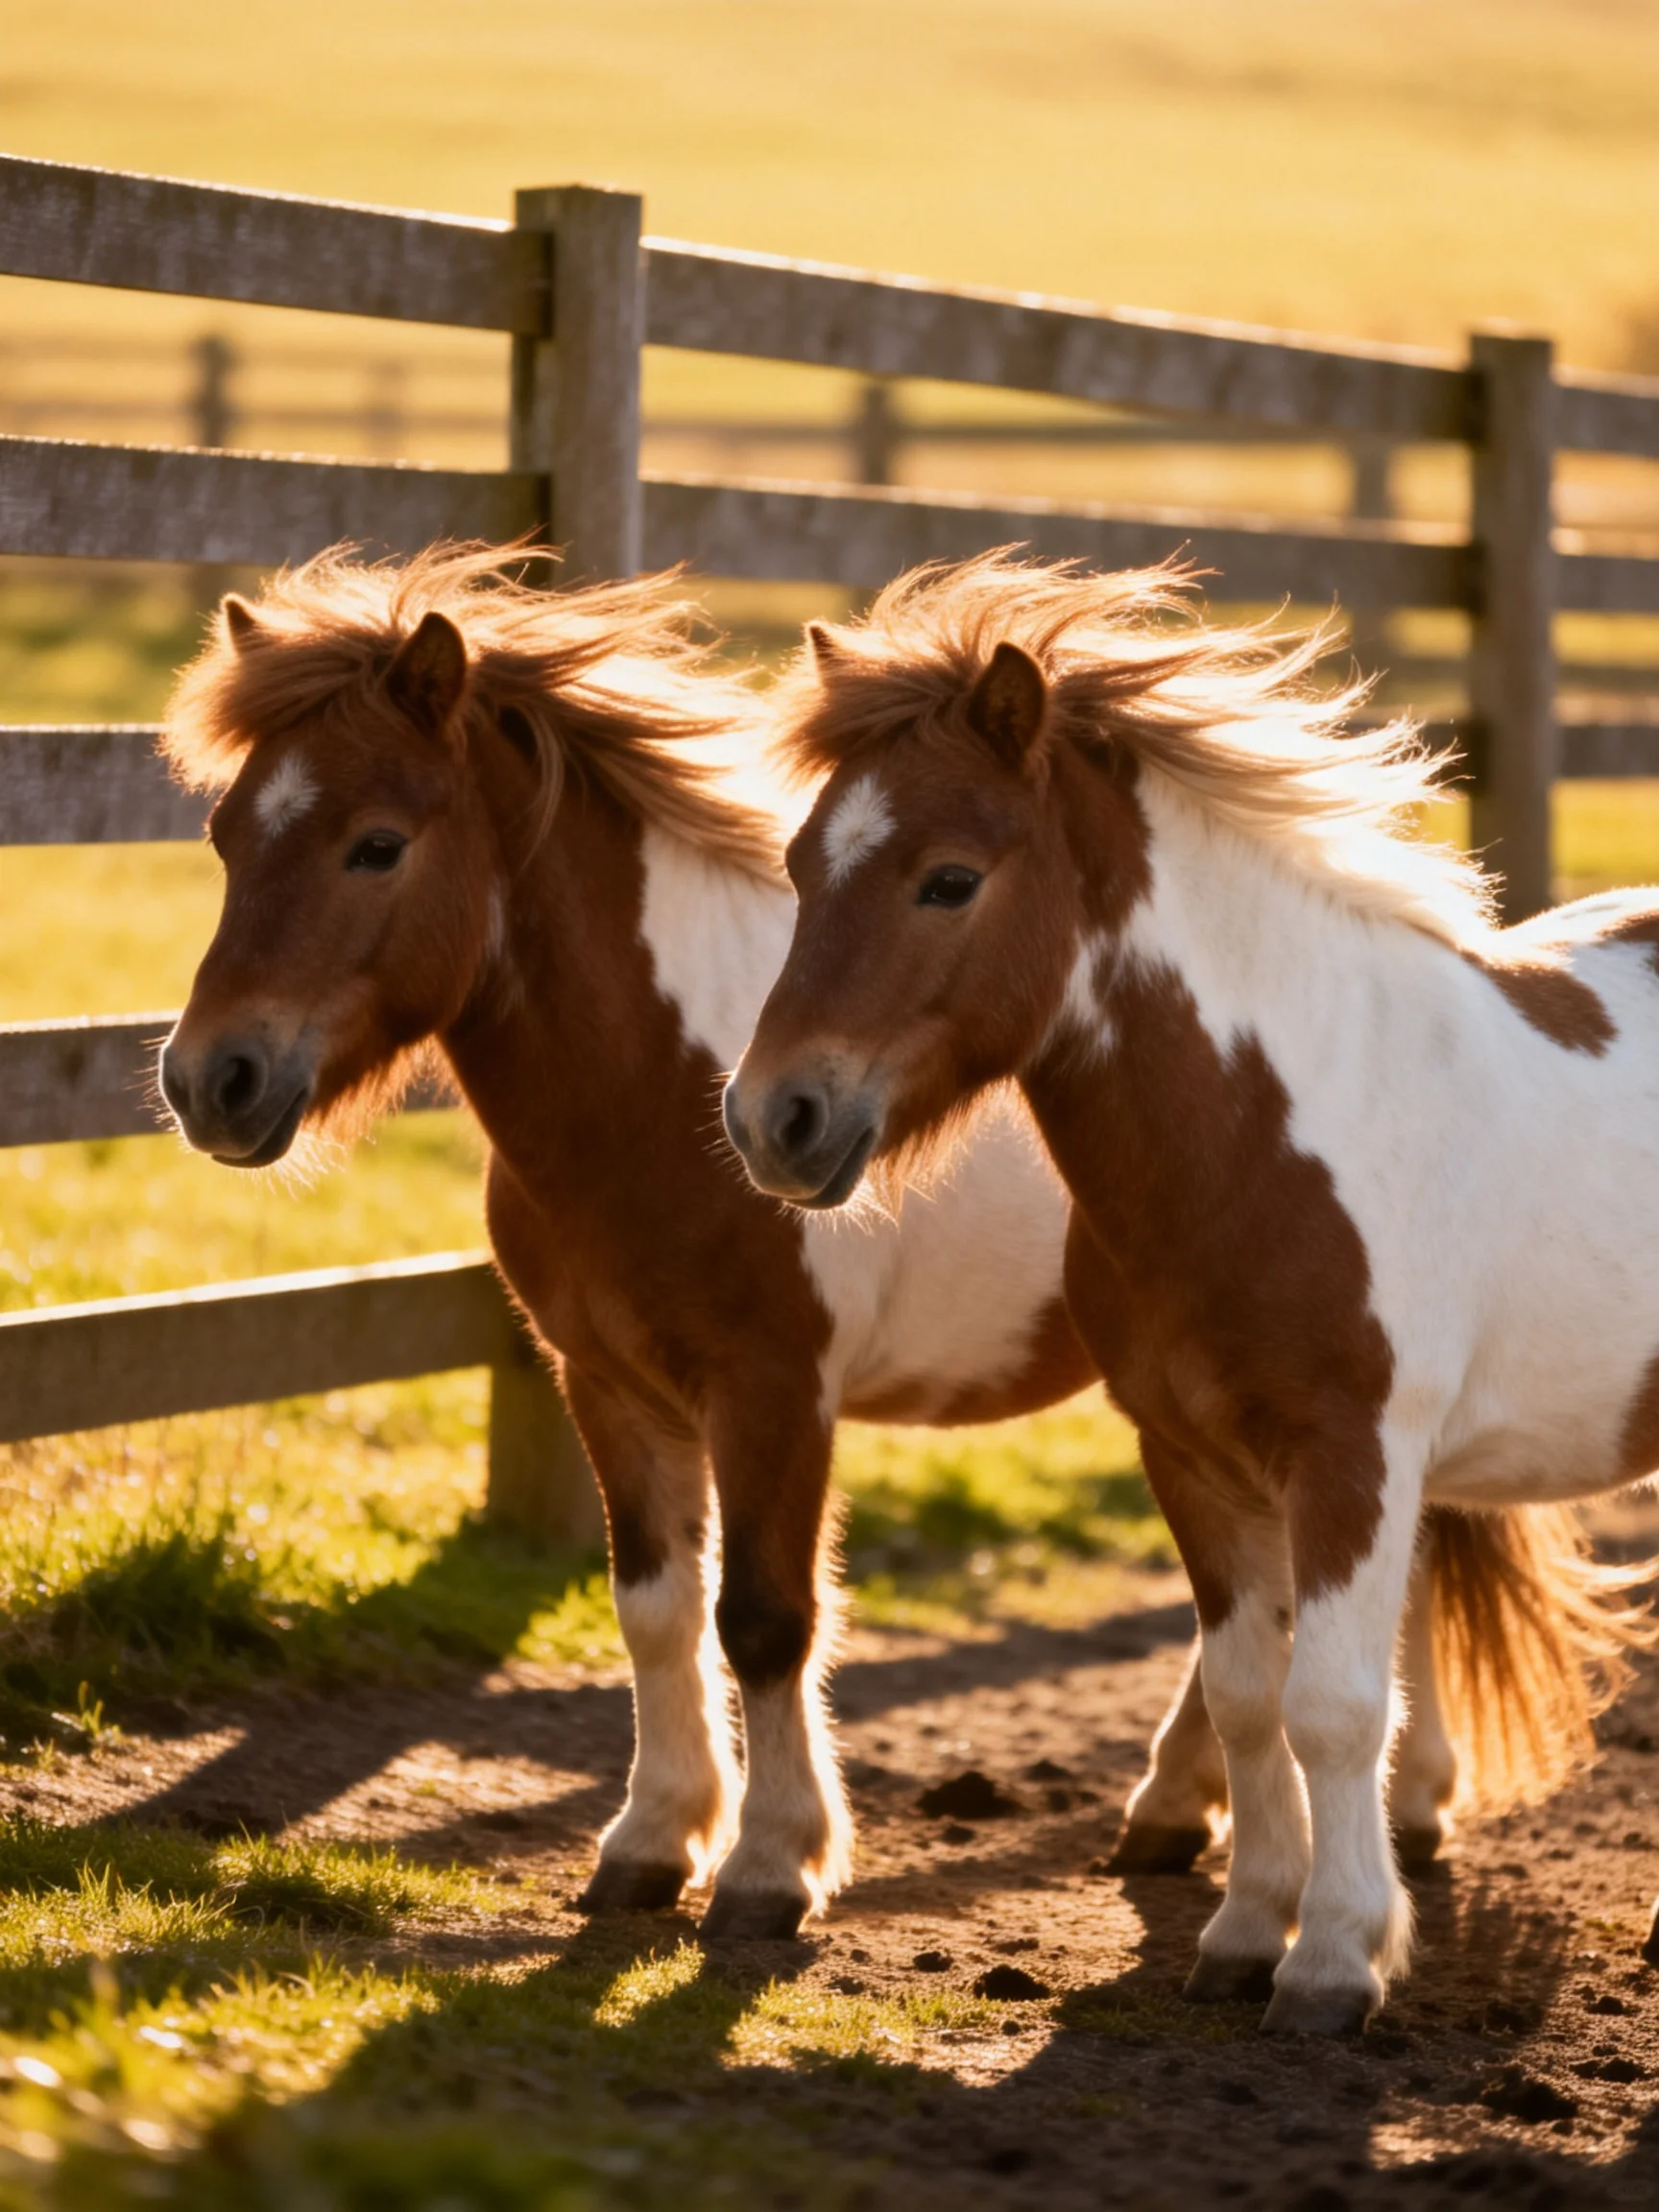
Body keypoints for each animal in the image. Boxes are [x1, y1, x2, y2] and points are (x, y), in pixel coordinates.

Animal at [724, 550, 1657, 2025]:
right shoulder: (1193, 1454)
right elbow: (1243, 1691)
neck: (1270, 1132)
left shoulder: (1351, 1457)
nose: (774, 1121)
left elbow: (1335, 1704)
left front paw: (1335, 1960)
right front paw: (1244, 1934)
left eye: (949, 878)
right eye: (803, 865)